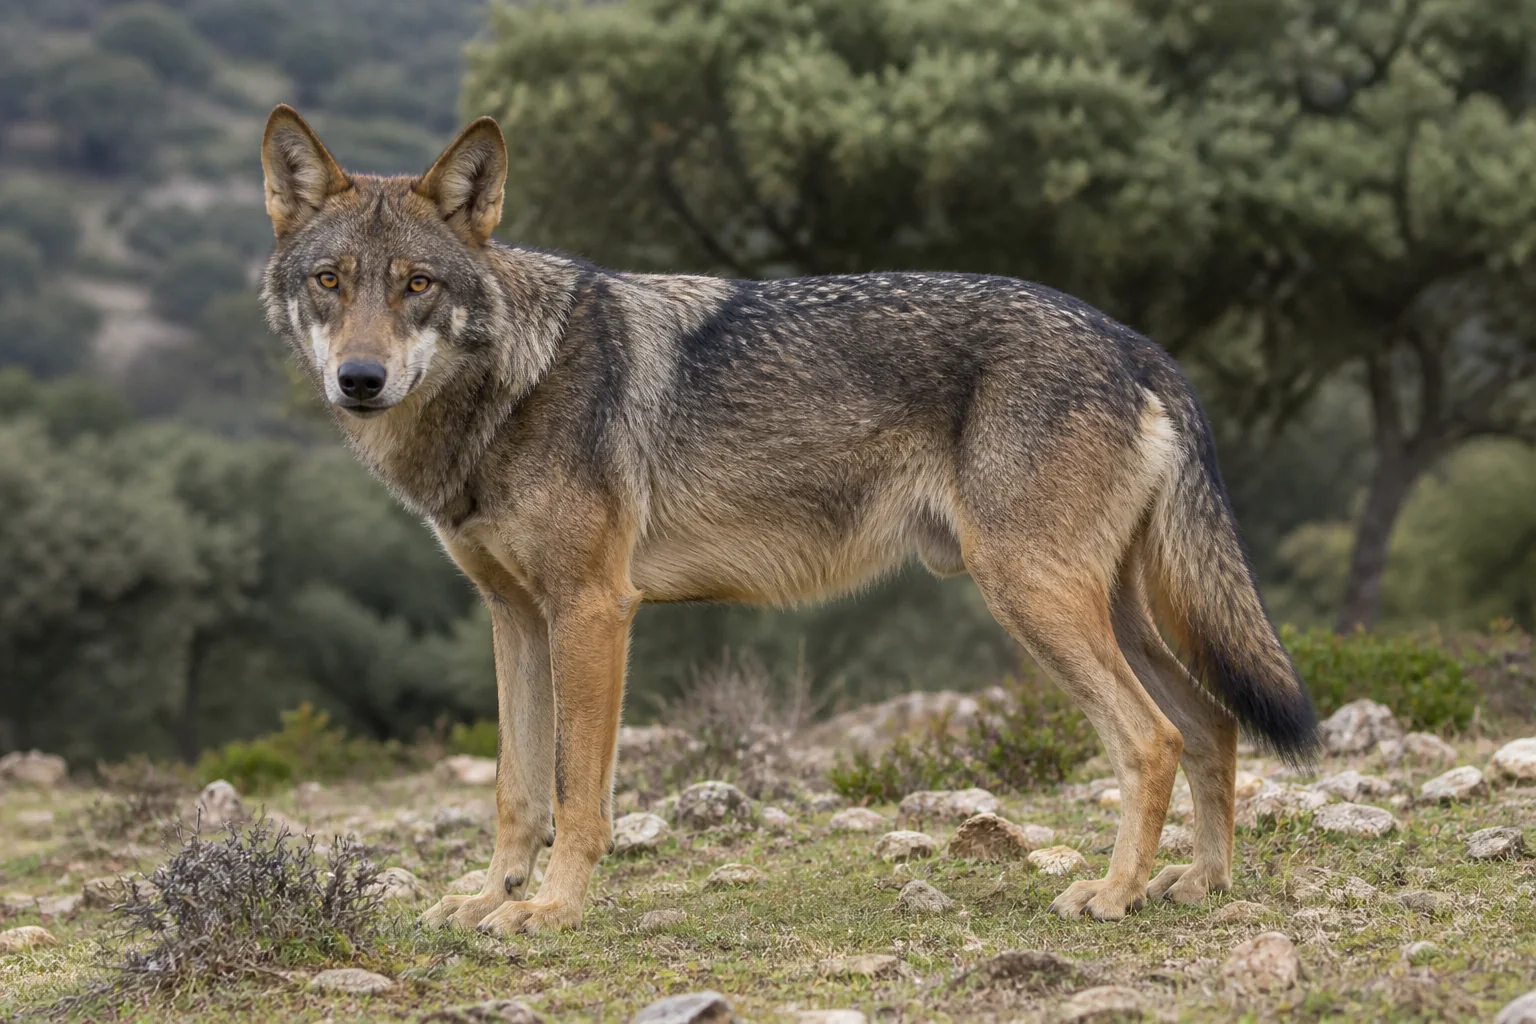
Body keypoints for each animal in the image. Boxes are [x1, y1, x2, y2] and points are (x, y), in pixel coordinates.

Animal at [259, 105, 1317, 935]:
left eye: (416, 284)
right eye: (330, 281)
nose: (361, 380)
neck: (509, 383)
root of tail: (1134, 341)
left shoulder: (593, 610)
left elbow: (577, 794)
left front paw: (552, 909)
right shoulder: (515, 617)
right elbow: (515, 790)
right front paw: (488, 899)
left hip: (1034, 600)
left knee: (1155, 738)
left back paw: (1112, 894)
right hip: (1109, 611)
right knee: (1215, 724)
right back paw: (1202, 885)